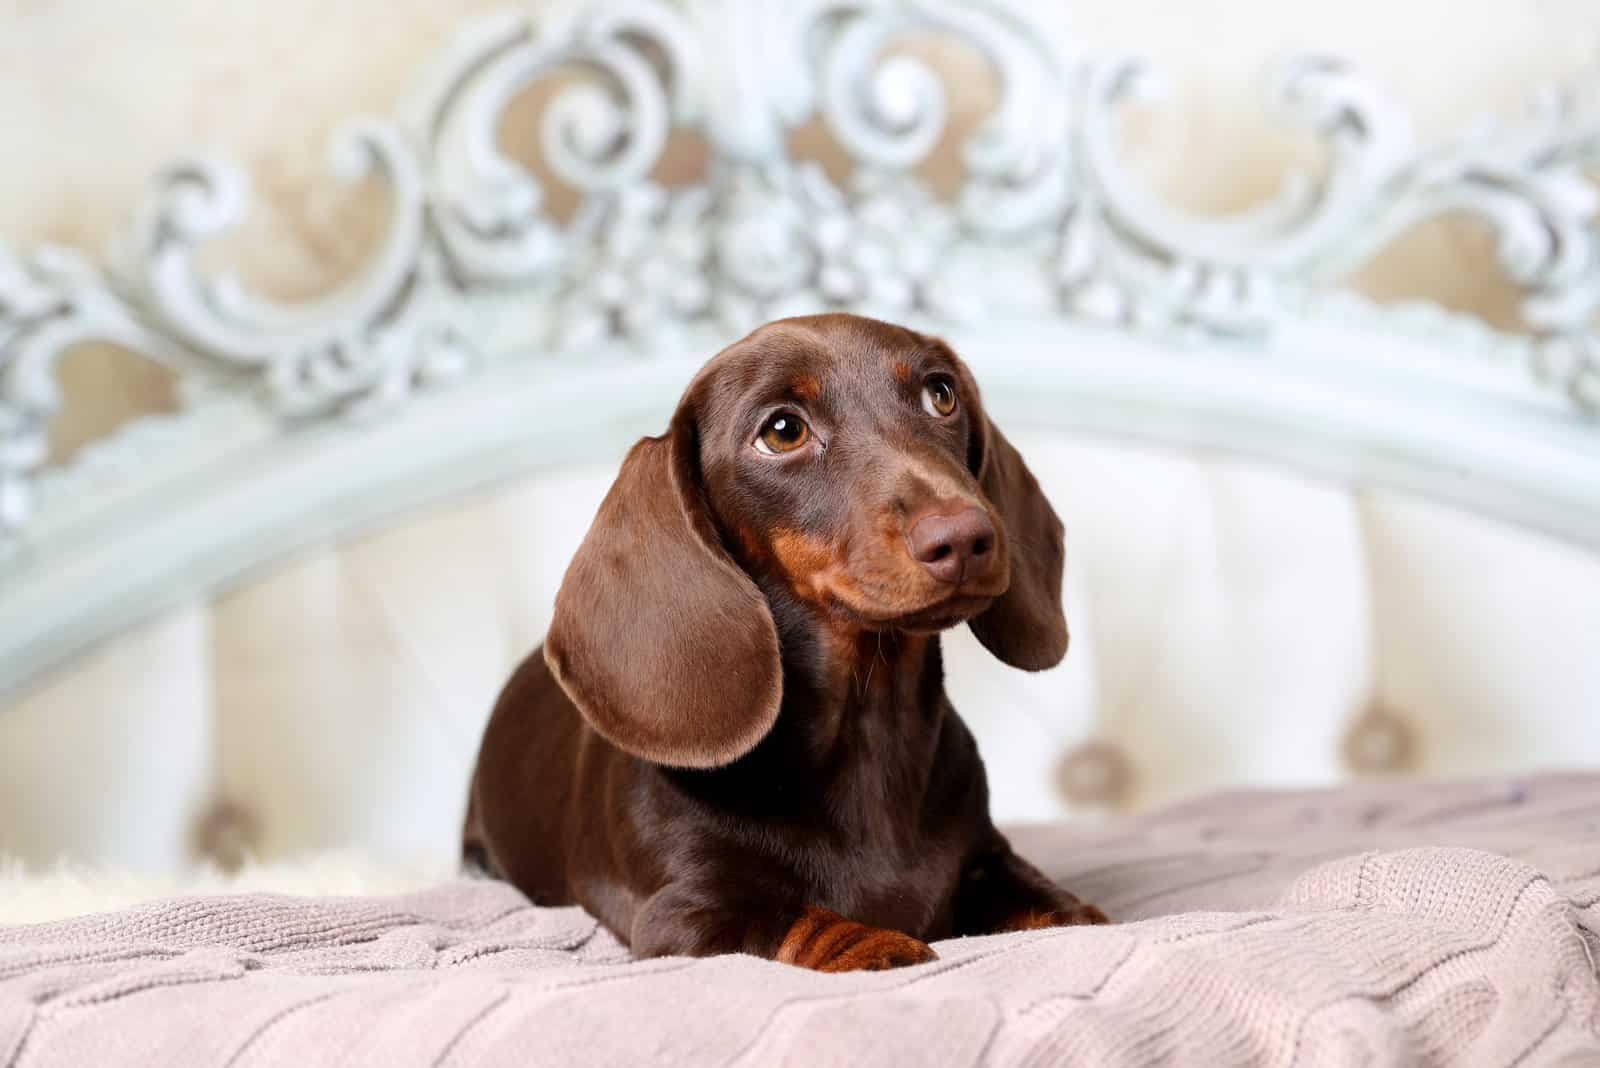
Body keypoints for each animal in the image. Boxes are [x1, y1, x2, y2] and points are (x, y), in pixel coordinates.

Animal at [464, 313, 1107, 972]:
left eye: (942, 394)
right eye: (782, 431)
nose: (967, 538)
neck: (868, 725)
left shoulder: (989, 856)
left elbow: (1060, 910)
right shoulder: (681, 915)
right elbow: (798, 917)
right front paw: (880, 946)